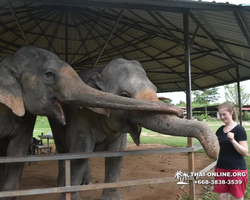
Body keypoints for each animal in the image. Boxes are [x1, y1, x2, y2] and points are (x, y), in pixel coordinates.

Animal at [0, 45, 184, 200]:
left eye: (155, 89)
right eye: (124, 95)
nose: (181, 111)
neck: (101, 71)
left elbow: (116, 153)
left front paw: (111, 198)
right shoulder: (80, 115)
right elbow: (79, 152)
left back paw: (87, 182)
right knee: (65, 149)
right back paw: (62, 184)